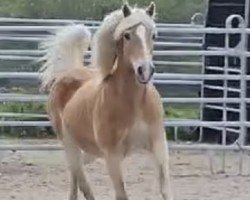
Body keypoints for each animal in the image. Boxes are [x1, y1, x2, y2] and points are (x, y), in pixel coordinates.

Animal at [39, 1, 172, 200]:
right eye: (127, 35)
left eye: (153, 35)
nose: (145, 70)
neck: (135, 104)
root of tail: (69, 72)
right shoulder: (112, 155)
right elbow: (121, 194)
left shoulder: (158, 144)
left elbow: (165, 189)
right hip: (69, 143)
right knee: (81, 178)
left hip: (88, 150)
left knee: (76, 174)